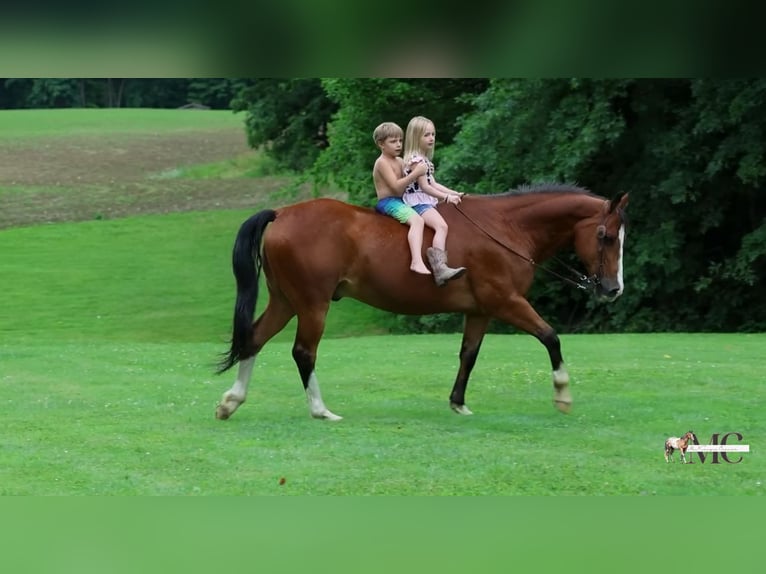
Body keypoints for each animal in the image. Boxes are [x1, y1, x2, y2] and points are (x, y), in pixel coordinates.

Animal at [215, 183, 629, 421]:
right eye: (606, 236)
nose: (613, 289)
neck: (505, 228)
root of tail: (282, 213)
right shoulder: (507, 302)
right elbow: (551, 337)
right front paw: (563, 394)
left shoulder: (480, 311)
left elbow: (469, 355)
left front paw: (458, 402)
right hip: (313, 304)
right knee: (304, 352)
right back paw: (320, 410)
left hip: (286, 301)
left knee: (253, 340)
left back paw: (232, 401)